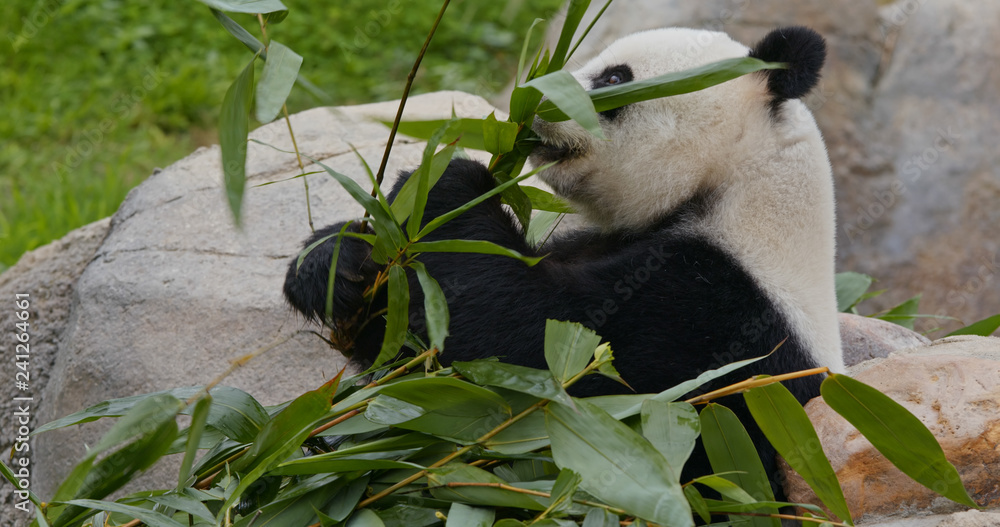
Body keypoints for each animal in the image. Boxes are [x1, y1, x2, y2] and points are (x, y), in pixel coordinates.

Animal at [284, 26, 844, 493]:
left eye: (615, 77)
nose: (531, 98)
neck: (737, 184)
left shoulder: (719, 320)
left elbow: (535, 350)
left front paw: (448, 182)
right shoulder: (602, 243)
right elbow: (409, 349)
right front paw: (336, 263)